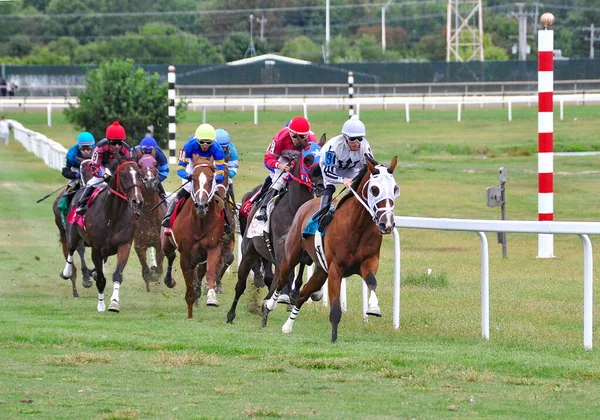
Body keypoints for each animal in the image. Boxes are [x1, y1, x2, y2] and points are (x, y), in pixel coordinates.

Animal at [264, 156, 398, 342]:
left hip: (321, 271)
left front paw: (373, 307)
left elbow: (372, 281)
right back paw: (269, 306)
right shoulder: (335, 268)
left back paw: (287, 326)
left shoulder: (369, 262)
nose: (387, 224)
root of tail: (305, 205)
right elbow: (335, 309)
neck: (356, 226)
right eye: (375, 190)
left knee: (303, 294)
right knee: (282, 278)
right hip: (292, 256)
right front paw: (334, 339)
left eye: (395, 189)